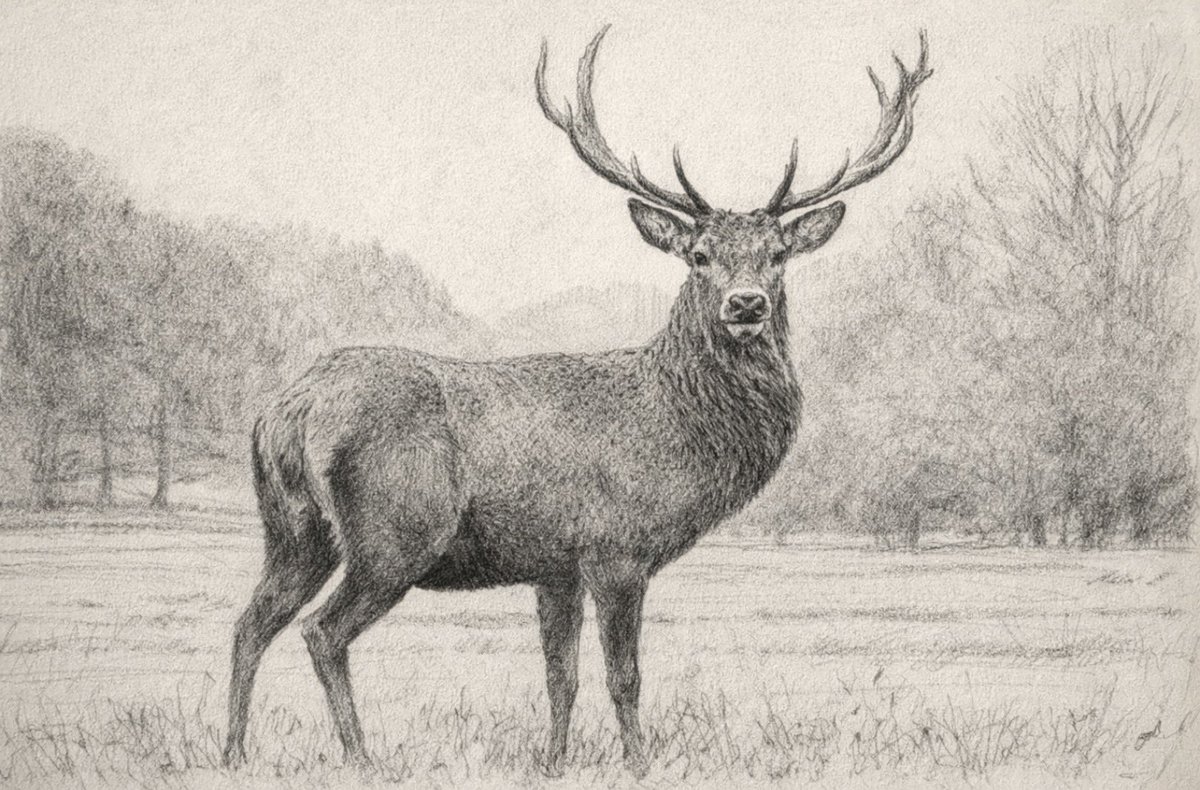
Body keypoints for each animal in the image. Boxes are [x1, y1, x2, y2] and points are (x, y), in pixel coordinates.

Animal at [222, 25, 932, 777]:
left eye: (777, 255)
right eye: (699, 255)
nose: (746, 305)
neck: (679, 432)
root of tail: (287, 411)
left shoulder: (554, 566)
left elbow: (560, 675)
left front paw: (553, 762)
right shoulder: (616, 548)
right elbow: (624, 675)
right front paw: (640, 766)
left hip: (293, 528)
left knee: (251, 622)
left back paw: (234, 751)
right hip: (394, 531)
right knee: (321, 631)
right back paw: (361, 757)